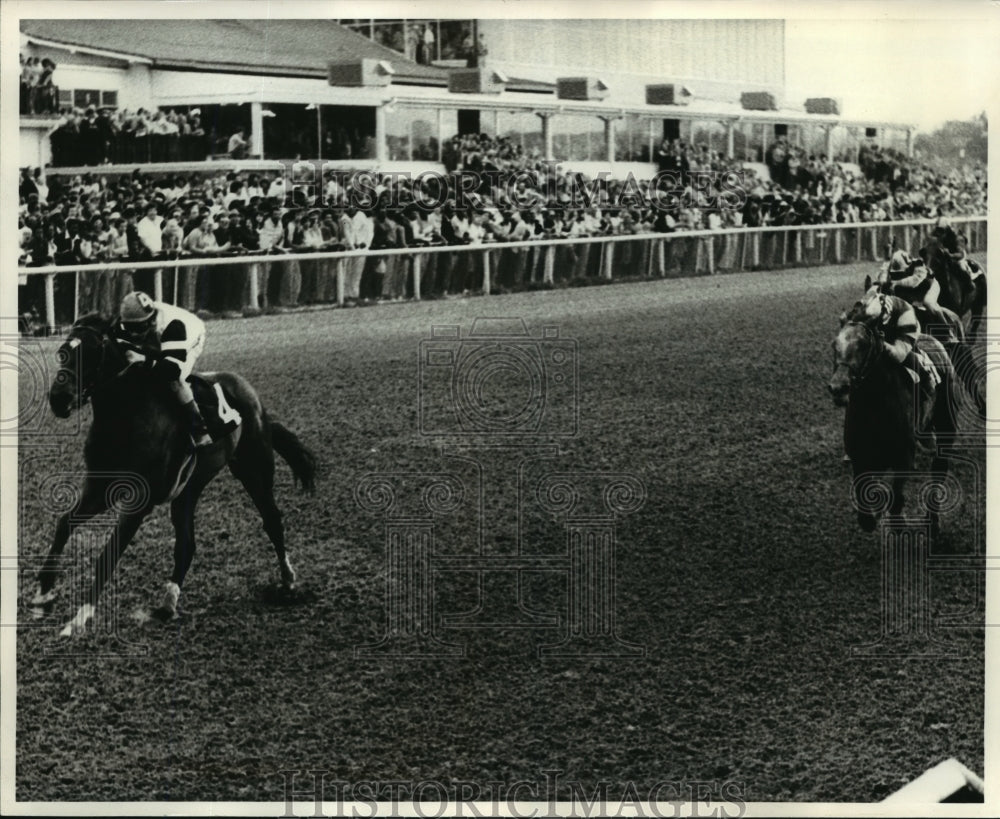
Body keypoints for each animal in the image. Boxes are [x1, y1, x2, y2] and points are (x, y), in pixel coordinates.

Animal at [35, 310, 316, 636]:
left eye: (93, 351)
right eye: (62, 352)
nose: (58, 398)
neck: (125, 416)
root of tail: (251, 394)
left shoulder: (139, 502)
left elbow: (108, 555)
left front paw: (78, 619)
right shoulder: (99, 487)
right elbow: (64, 524)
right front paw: (43, 594)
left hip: (254, 470)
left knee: (272, 521)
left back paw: (288, 582)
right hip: (189, 488)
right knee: (186, 544)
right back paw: (168, 604)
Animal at [824, 308, 956, 540]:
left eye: (863, 345)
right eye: (834, 345)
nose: (838, 387)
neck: (874, 406)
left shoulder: (904, 457)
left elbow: (896, 496)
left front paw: (898, 521)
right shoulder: (860, 457)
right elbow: (865, 502)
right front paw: (871, 515)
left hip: (946, 427)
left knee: (939, 470)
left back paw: (933, 521)